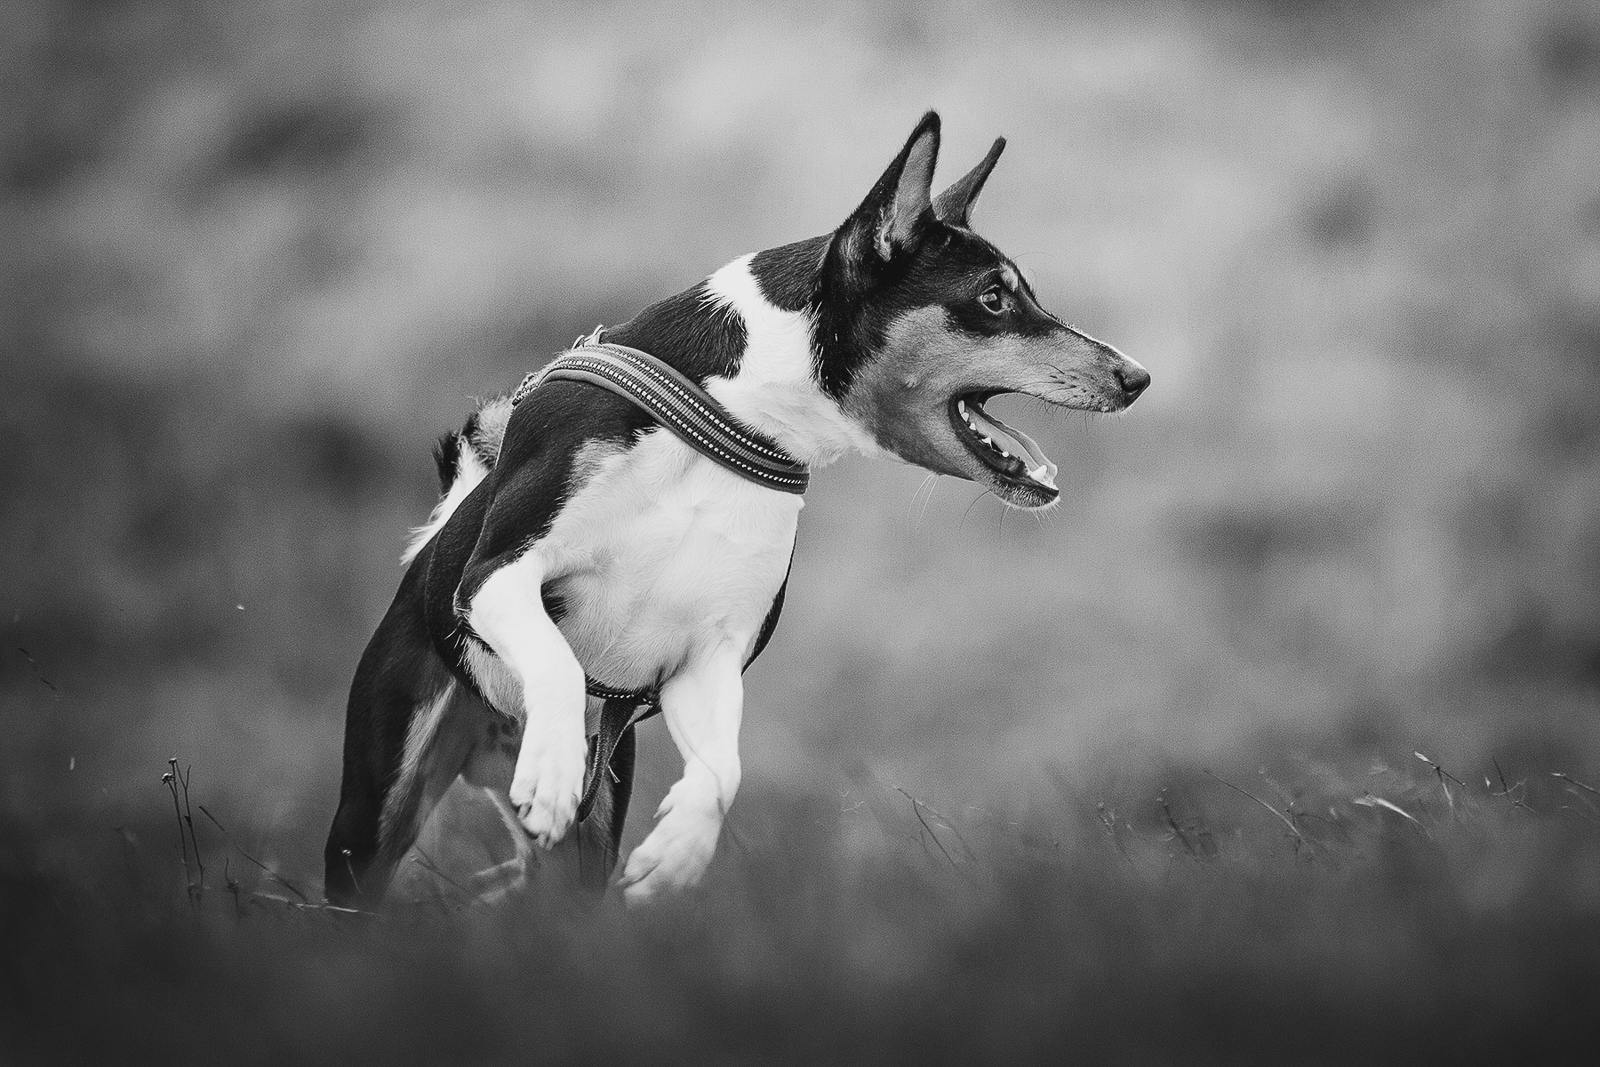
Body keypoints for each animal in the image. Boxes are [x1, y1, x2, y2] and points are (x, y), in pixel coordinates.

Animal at [324, 110, 1152, 908]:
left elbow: (725, 772)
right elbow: (557, 663)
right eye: (992, 298)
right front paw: (555, 767)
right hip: (374, 807)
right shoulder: (496, 575)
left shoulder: (706, 657)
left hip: (595, 809)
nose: (1137, 376)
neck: (728, 422)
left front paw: (676, 855)